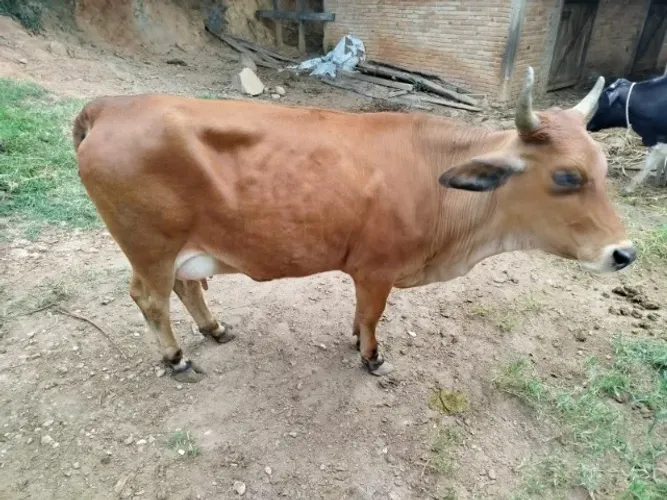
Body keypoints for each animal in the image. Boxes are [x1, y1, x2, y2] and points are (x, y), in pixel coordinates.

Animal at [72, 67, 636, 384]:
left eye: (604, 166)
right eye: (567, 176)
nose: (624, 253)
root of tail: (111, 105)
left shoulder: (368, 271)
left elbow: (360, 314)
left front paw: (354, 341)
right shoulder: (376, 269)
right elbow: (372, 316)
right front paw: (371, 358)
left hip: (177, 248)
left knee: (186, 287)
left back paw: (214, 329)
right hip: (150, 247)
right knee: (151, 299)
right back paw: (177, 359)